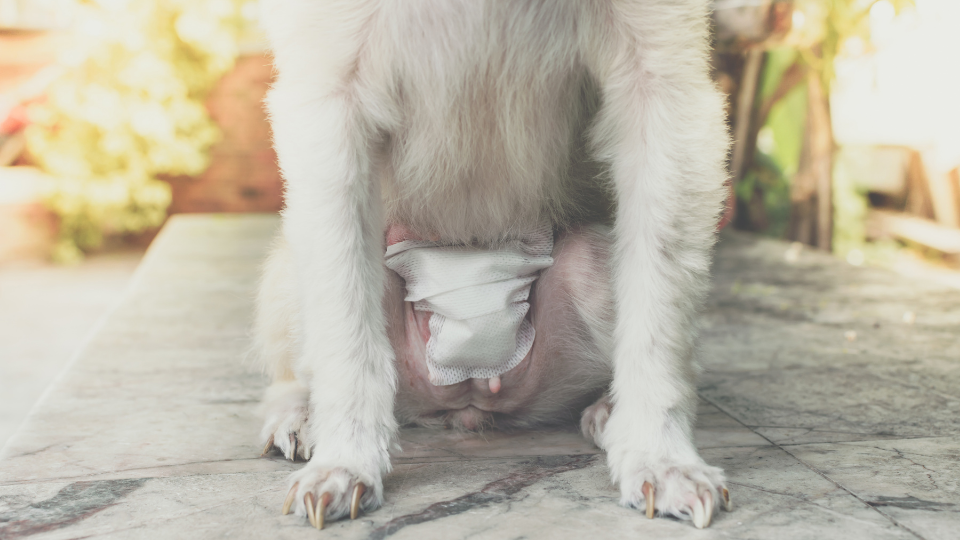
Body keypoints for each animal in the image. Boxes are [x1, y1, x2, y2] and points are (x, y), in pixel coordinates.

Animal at [255, 0, 728, 532]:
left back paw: (609, 410)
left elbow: (660, 314)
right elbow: (343, 327)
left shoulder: (662, 83)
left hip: (584, 285)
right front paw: (346, 458)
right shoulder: (330, 91)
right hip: (303, 280)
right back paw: (298, 414)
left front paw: (660, 455)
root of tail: (468, 397)